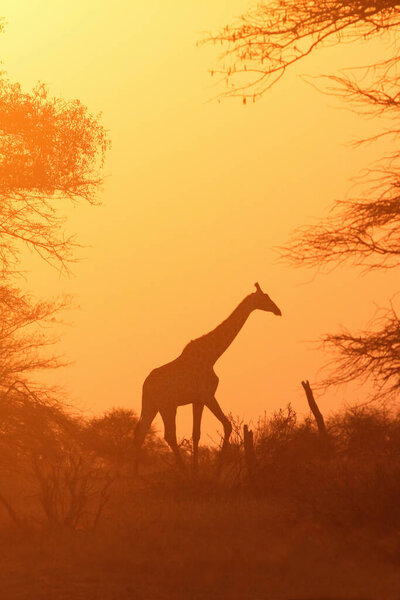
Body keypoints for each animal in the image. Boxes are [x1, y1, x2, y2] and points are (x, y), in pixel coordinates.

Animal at [134, 284, 282, 472]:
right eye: (265, 297)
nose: (278, 310)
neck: (212, 356)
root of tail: (145, 385)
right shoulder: (207, 395)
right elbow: (227, 425)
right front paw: (214, 472)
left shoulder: (197, 400)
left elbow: (196, 434)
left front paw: (197, 470)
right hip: (167, 406)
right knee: (169, 435)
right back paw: (182, 473)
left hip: (151, 405)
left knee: (141, 432)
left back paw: (136, 475)